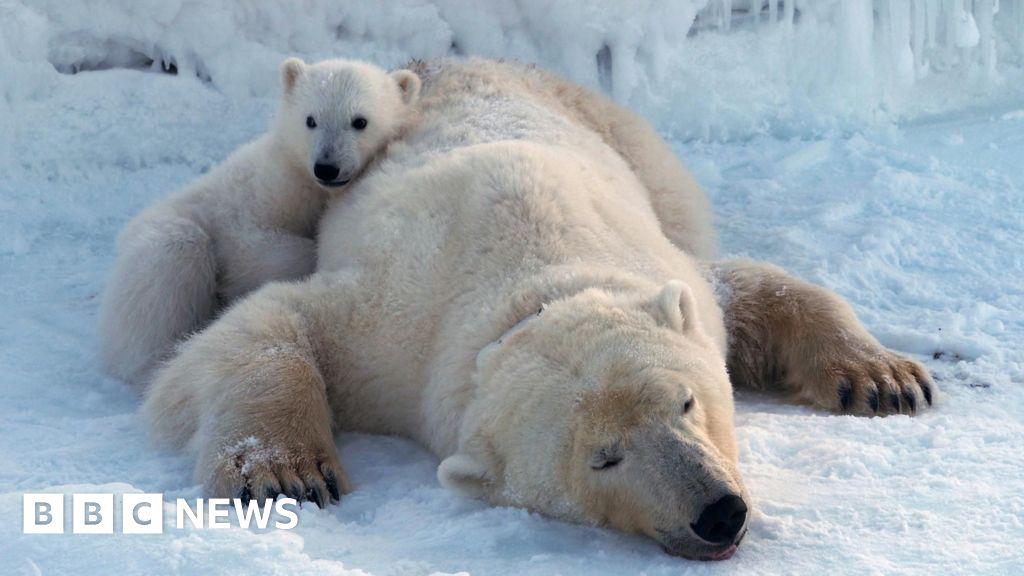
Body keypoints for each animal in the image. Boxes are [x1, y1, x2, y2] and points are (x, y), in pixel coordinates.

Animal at [98, 57, 422, 386]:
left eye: (360, 121)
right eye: (310, 120)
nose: (326, 167)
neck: (306, 182)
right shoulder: (259, 196)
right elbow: (253, 248)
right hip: (161, 237)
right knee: (171, 260)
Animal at [141, 58, 935, 561]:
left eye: (685, 402)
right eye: (604, 459)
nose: (718, 513)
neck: (532, 279)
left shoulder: (656, 263)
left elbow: (749, 289)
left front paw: (884, 380)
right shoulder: (396, 332)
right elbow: (270, 324)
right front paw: (287, 473)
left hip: (626, 138)